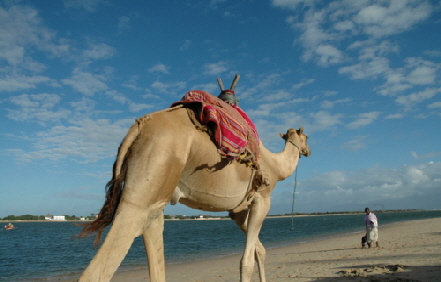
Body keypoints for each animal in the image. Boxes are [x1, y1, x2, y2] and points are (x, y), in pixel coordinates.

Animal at [78, 104, 310, 282]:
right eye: (306, 136)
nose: (308, 150)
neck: (276, 166)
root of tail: (139, 125)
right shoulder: (262, 198)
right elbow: (246, 261)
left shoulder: (238, 209)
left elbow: (259, 251)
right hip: (149, 176)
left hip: (156, 191)